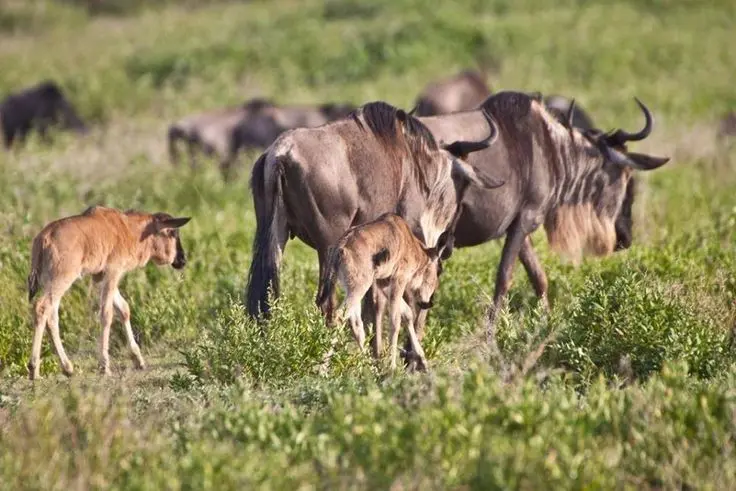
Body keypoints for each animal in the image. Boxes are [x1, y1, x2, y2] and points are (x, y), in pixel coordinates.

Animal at [26, 206, 191, 380]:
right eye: (172, 232)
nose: (182, 260)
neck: (128, 228)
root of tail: (44, 238)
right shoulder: (113, 272)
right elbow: (107, 314)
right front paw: (104, 366)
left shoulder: (99, 277)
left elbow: (124, 309)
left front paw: (138, 359)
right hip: (61, 280)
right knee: (42, 307)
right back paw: (34, 369)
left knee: (52, 316)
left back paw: (67, 368)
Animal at [316, 213, 449, 371]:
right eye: (438, 270)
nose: (428, 303)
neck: (410, 243)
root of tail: (339, 248)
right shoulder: (399, 280)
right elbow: (395, 321)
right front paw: (393, 367)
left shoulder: (383, 282)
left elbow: (407, 313)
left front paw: (422, 360)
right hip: (359, 288)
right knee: (338, 317)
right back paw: (323, 368)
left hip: (352, 289)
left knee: (355, 323)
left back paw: (369, 365)